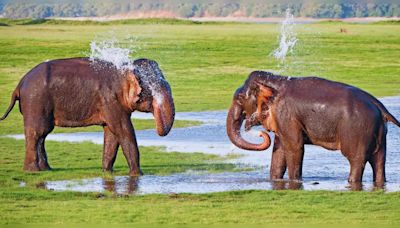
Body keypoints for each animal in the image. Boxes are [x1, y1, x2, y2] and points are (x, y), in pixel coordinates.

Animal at [0, 57, 175, 176]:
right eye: (154, 90)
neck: (124, 70)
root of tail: (20, 84)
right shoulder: (110, 99)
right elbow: (123, 130)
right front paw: (137, 175)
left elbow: (112, 133)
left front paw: (107, 172)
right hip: (35, 101)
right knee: (38, 132)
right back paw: (33, 171)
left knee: (42, 134)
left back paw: (46, 169)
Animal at [228, 71, 400, 183]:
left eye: (240, 98)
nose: (260, 134)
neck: (276, 80)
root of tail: (379, 105)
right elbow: (280, 149)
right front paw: (275, 180)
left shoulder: (286, 115)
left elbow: (295, 148)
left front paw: (295, 181)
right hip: (379, 133)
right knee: (379, 161)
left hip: (357, 131)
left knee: (356, 160)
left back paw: (351, 182)